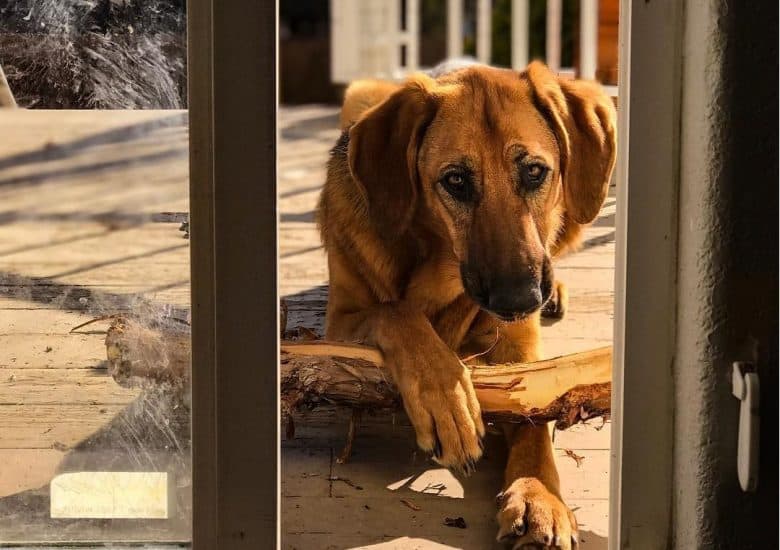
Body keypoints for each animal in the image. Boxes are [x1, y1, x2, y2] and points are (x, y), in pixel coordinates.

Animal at [316, 62, 616, 548]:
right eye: (455, 180)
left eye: (535, 172)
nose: (521, 299)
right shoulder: (338, 325)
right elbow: (396, 313)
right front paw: (448, 400)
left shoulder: (520, 357)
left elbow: (535, 413)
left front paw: (539, 495)